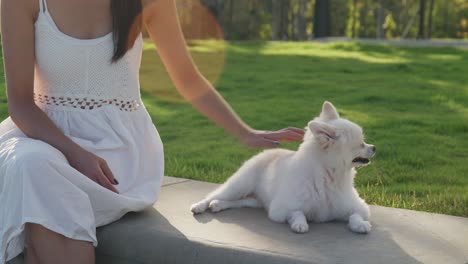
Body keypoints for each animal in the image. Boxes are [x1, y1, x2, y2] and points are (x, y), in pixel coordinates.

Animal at [190, 101, 376, 233]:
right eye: (361, 144)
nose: (374, 147)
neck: (329, 176)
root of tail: (265, 153)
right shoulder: (280, 209)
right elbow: (297, 212)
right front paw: (299, 223)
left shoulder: (358, 207)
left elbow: (355, 216)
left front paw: (360, 225)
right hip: (239, 185)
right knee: (214, 194)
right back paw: (201, 205)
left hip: (255, 199)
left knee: (241, 201)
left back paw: (218, 205)